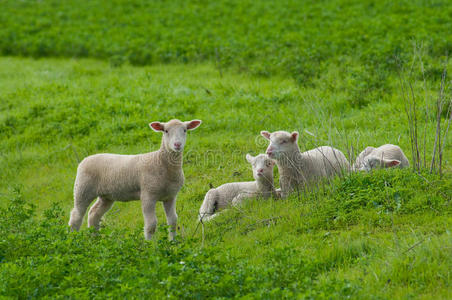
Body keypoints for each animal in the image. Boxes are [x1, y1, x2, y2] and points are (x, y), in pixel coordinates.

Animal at [67, 118, 201, 240]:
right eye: (166, 131)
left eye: (185, 130)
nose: (177, 144)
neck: (160, 162)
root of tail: (84, 160)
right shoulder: (148, 195)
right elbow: (151, 224)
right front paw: (150, 246)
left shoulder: (170, 196)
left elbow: (173, 221)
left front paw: (172, 242)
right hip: (82, 189)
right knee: (76, 215)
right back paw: (73, 238)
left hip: (106, 196)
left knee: (94, 214)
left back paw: (95, 238)